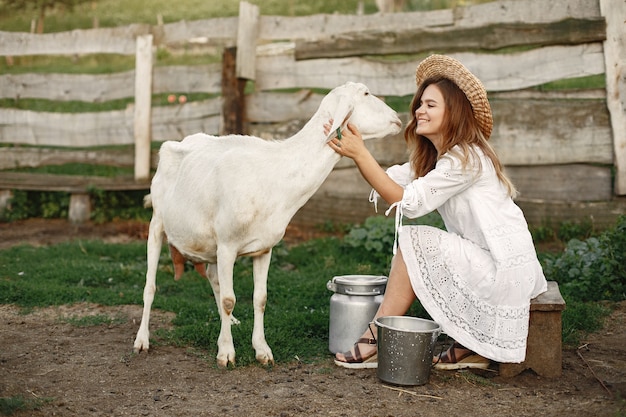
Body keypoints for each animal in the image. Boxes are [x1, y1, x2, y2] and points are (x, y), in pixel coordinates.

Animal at [134, 82, 402, 368]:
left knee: (213, 278)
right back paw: (142, 340)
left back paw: (230, 323)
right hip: (158, 223)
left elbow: (259, 299)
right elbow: (229, 299)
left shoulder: (263, 248)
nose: (397, 119)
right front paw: (226, 353)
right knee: (150, 285)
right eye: (366, 94)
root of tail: (176, 142)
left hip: (209, 244)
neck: (276, 174)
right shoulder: (227, 245)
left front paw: (262, 350)